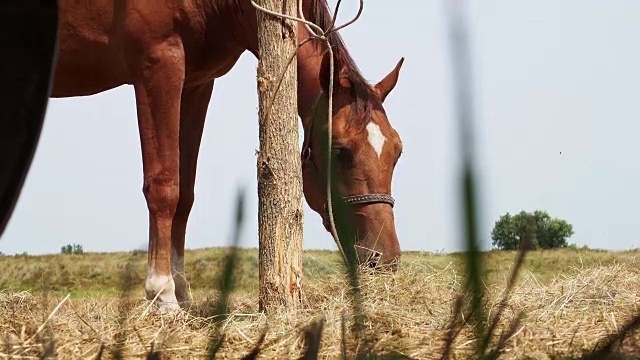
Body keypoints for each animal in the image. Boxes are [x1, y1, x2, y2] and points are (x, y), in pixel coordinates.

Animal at [53, 0, 404, 310]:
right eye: (340, 150)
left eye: (398, 151)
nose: (385, 260)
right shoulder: (157, 65)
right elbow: (164, 186)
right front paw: (162, 293)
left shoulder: (196, 83)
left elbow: (185, 194)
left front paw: (181, 291)